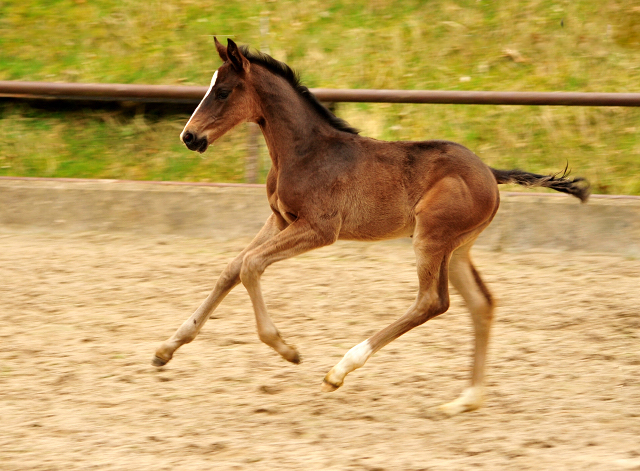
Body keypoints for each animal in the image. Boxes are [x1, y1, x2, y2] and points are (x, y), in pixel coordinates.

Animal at [151, 40, 592, 416]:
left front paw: (287, 349)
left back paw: (340, 370)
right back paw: (465, 401)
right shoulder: (280, 219)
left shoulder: (319, 229)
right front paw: (166, 349)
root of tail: (490, 173)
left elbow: (250, 266)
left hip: (431, 237)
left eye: (223, 91)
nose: (189, 136)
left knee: (432, 301)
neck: (306, 152)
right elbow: (231, 268)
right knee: (481, 303)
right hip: (457, 248)